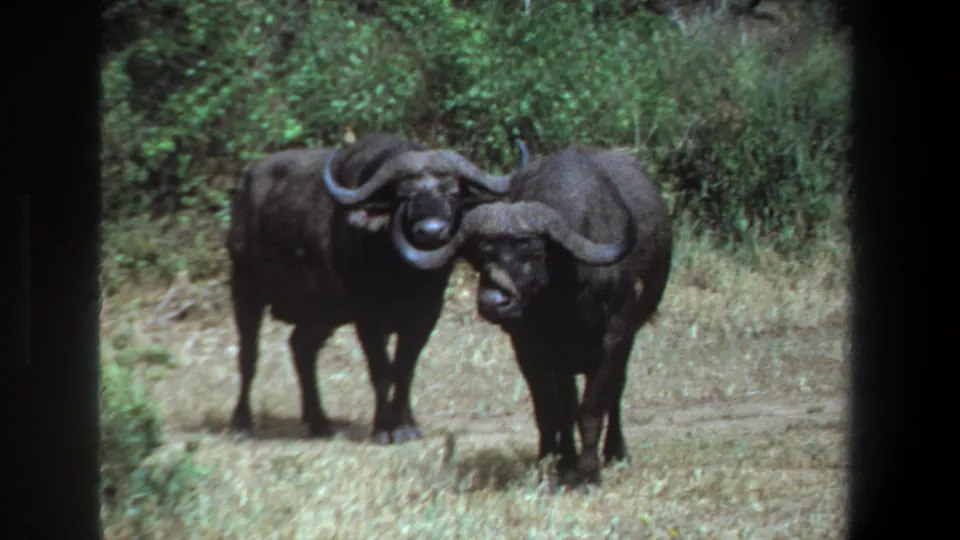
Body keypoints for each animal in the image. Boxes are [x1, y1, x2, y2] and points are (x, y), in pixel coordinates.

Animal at [226, 133, 528, 444]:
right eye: (404, 195)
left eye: (452, 193)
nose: (432, 231)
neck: (404, 276)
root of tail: (246, 186)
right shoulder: (368, 318)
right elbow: (381, 371)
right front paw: (383, 427)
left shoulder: (426, 316)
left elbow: (405, 369)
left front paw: (406, 425)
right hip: (245, 287)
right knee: (249, 355)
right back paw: (241, 423)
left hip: (321, 313)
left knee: (301, 347)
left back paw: (320, 422)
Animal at [395, 146, 674, 484]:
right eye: (484, 254)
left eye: (535, 253)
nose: (493, 302)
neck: (566, 296)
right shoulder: (538, 348)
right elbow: (560, 409)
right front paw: (566, 466)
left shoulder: (615, 339)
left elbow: (593, 407)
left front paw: (589, 472)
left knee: (615, 393)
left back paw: (615, 451)